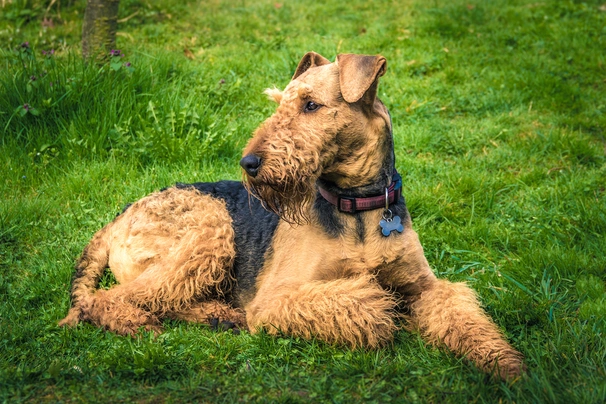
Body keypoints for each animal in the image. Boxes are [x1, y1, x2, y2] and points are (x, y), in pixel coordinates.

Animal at [61, 52, 528, 380]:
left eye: (311, 105)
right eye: (279, 103)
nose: (249, 163)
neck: (358, 208)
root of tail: (116, 219)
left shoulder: (425, 287)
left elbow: (462, 313)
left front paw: (507, 365)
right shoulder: (276, 297)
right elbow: (361, 298)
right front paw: (381, 305)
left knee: (165, 300)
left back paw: (220, 315)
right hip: (209, 230)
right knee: (110, 299)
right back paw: (144, 323)